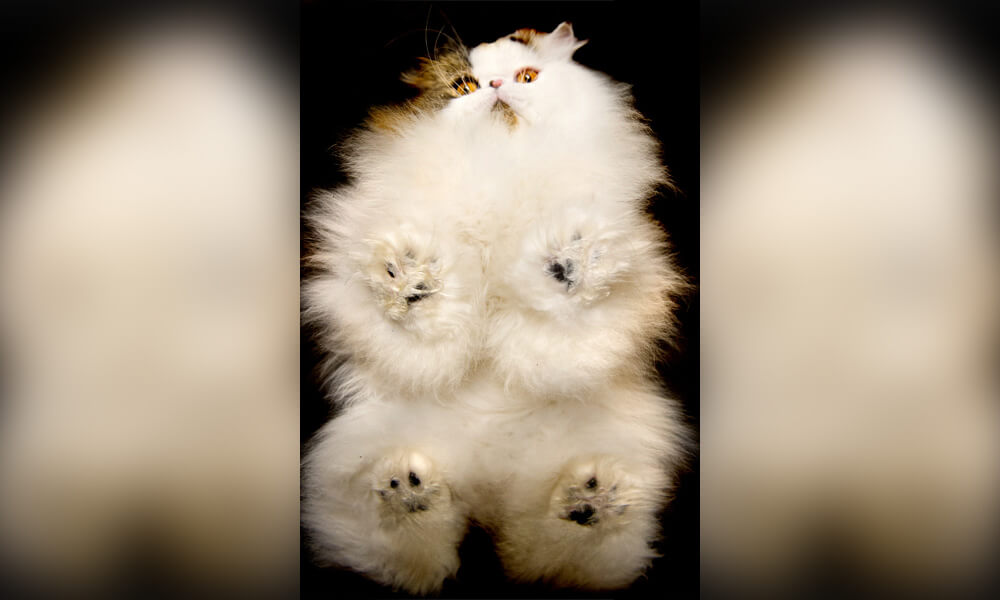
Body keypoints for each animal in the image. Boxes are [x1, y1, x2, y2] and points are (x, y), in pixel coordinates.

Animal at [302, 22, 689, 594]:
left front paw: (574, 256)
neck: (501, 169)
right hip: (354, 460)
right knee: (406, 550)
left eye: (528, 75)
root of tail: (488, 491)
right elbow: (416, 318)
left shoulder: (571, 339)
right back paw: (408, 491)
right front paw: (409, 274)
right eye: (464, 86)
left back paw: (591, 500)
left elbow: (565, 312)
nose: (498, 87)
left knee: (559, 554)